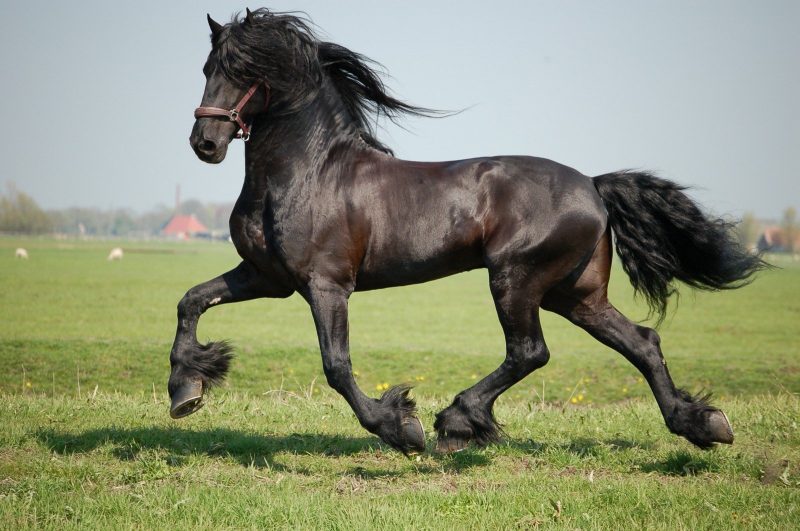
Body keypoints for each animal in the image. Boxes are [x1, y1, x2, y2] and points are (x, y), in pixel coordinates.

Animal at [169, 8, 764, 454]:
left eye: (249, 71)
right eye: (207, 66)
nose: (205, 143)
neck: (309, 172)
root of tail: (594, 186)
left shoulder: (326, 284)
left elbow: (337, 365)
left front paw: (400, 428)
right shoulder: (266, 276)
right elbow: (191, 300)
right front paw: (186, 388)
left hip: (516, 279)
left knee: (530, 352)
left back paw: (456, 420)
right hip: (575, 294)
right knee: (641, 343)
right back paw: (702, 425)